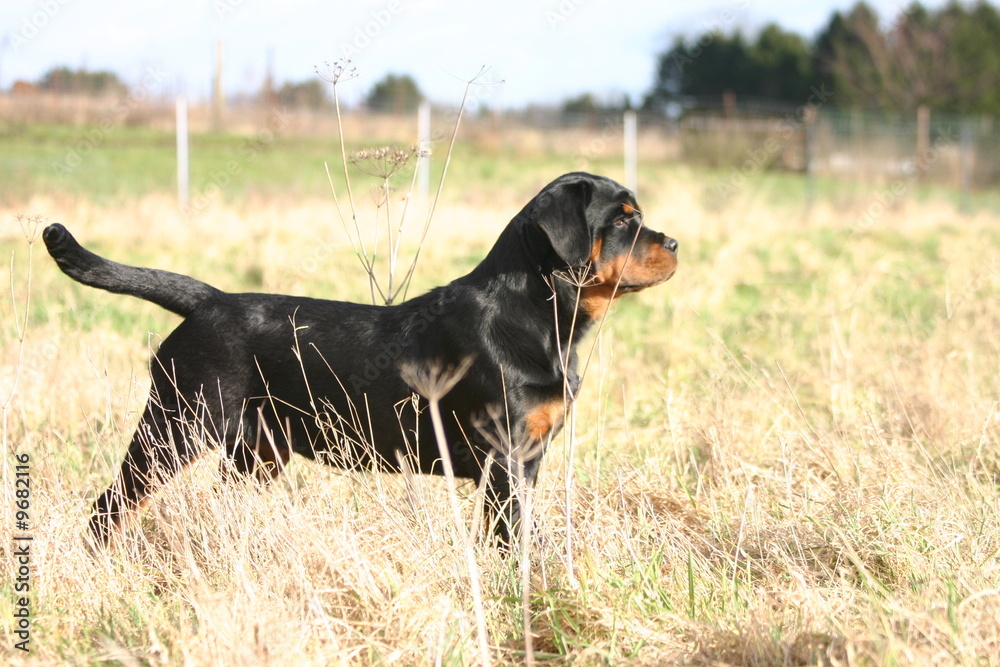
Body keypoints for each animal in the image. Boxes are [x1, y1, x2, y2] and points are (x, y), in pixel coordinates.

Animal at [43, 172, 676, 548]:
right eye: (623, 219)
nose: (673, 243)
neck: (545, 320)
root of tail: (209, 301)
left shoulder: (528, 460)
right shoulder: (508, 461)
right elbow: (514, 538)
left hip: (258, 450)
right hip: (176, 427)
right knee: (108, 507)